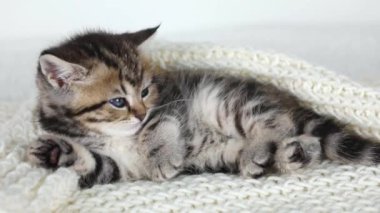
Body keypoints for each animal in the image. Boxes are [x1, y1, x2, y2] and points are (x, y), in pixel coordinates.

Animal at [27, 26, 380, 188]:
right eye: (117, 102)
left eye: (145, 91)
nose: (140, 113)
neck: (114, 135)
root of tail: (285, 97)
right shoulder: (120, 168)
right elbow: (95, 165)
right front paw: (53, 152)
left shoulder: (170, 98)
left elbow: (160, 125)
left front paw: (162, 156)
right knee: (307, 141)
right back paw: (293, 154)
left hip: (227, 100)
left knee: (276, 123)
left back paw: (259, 150)